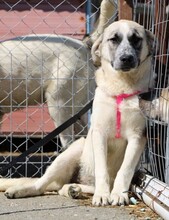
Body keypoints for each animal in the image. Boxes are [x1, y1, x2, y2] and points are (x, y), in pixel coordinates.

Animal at [0, 20, 154, 206]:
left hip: (61, 106)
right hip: (70, 143)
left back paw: (74, 189)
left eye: (136, 39)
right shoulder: (99, 133)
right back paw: (21, 190)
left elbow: (125, 170)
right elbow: (101, 169)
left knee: (63, 185)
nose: (126, 58)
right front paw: (102, 196)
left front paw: (118, 194)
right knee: (42, 184)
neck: (121, 89)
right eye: (113, 39)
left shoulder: (137, 137)